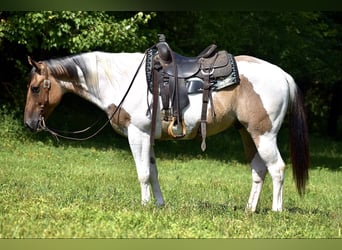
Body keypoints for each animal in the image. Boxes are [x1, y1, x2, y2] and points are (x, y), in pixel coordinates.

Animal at [22, 47, 308, 212]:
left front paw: (145, 205)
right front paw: (159, 205)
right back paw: (250, 210)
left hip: (264, 134)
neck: (122, 80)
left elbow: (143, 174)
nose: (29, 123)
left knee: (277, 168)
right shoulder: (148, 136)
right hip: (247, 133)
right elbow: (154, 172)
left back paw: (276, 211)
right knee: (259, 169)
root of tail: (283, 75)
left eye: (35, 88)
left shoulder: (137, 134)